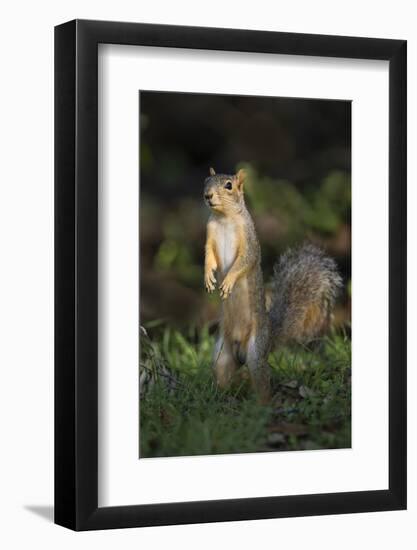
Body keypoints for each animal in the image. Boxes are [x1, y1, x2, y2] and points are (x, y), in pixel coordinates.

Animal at [203, 166, 342, 404]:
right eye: (206, 181)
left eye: (228, 186)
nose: (207, 195)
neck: (224, 219)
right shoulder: (210, 233)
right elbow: (208, 258)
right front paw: (207, 278)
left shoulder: (249, 240)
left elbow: (244, 261)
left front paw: (228, 281)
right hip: (222, 353)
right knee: (222, 372)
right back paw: (218, 397)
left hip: (256, 350)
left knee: (261, 380)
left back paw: (262, 405)